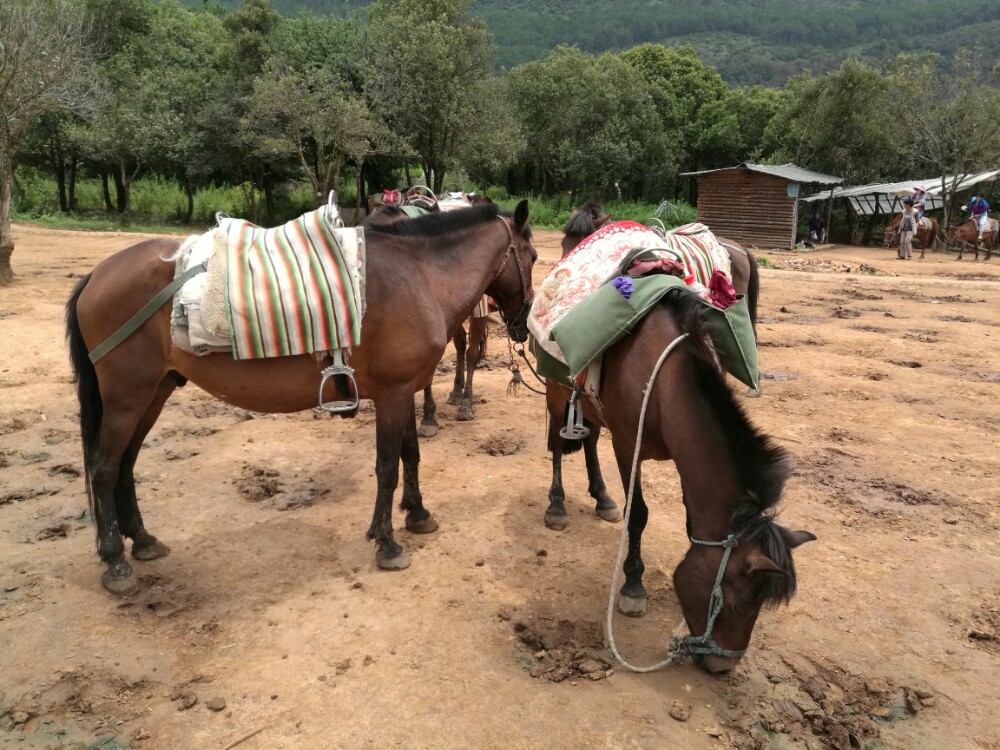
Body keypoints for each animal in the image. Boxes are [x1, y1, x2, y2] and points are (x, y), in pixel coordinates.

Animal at [68, 203, 540, 596]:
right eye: (533, 258)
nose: (523, 324)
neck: (420, 275)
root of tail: (95, 276)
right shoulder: (392, 393)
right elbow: (387, 466)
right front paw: (386, 543)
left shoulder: (404, 390)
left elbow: (410, 453)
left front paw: (418, 514)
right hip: (128, 398)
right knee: (105, 468)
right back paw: (115, 562)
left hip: (154, 392)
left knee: (126, 465)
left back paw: (142, 540)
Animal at [556, 290, 812, 676]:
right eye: (738, 604)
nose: (723, 667)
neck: (665, 383)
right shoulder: (627, 446)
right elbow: (638, 515)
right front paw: (633, 587)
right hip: (556, 393)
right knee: (556, 446)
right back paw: (555, 505)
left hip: (588, 405)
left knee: (589, 438)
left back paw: (602, 498)